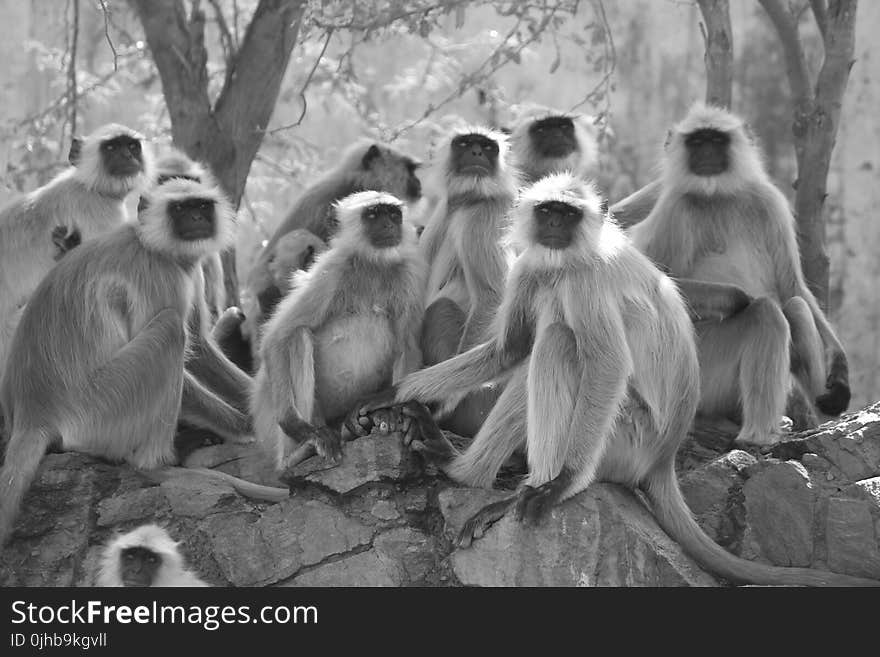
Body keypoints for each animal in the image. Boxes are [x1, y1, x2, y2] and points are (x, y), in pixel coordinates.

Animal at [0, 178, 288, 544]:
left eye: (201, 206)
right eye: (179, 209)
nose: (196, 218)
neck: (149, 243)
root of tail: (33, 413)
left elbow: (199, 346)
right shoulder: (159, 275)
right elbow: (185, 348)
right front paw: (246, 428)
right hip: (102, 406)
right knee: (169, 329)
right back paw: (156, 467)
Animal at [360, 172, 880, 588]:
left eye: (568, 214)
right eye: (547, 211)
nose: (554, 227)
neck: (570, 255)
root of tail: (664, 459)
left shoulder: (585, 280)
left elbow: (606, 365)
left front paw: (561, 484)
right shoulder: (532, 265)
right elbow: (508, 350)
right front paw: (393, 393)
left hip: (628, 437)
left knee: (562, 345)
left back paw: (526, 490)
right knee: (542, 348)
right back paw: (461, 470)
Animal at [628, 105, 848, 444]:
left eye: (716, 140)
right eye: (696, 142)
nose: (706, 153)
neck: (718, 196)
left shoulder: (770, 202)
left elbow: (792, 286)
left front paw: (840, 371)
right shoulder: (675, 210)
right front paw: (740, 297)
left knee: (795, 307)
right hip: (700, 373)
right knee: (767, 313)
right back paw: (757, 436)